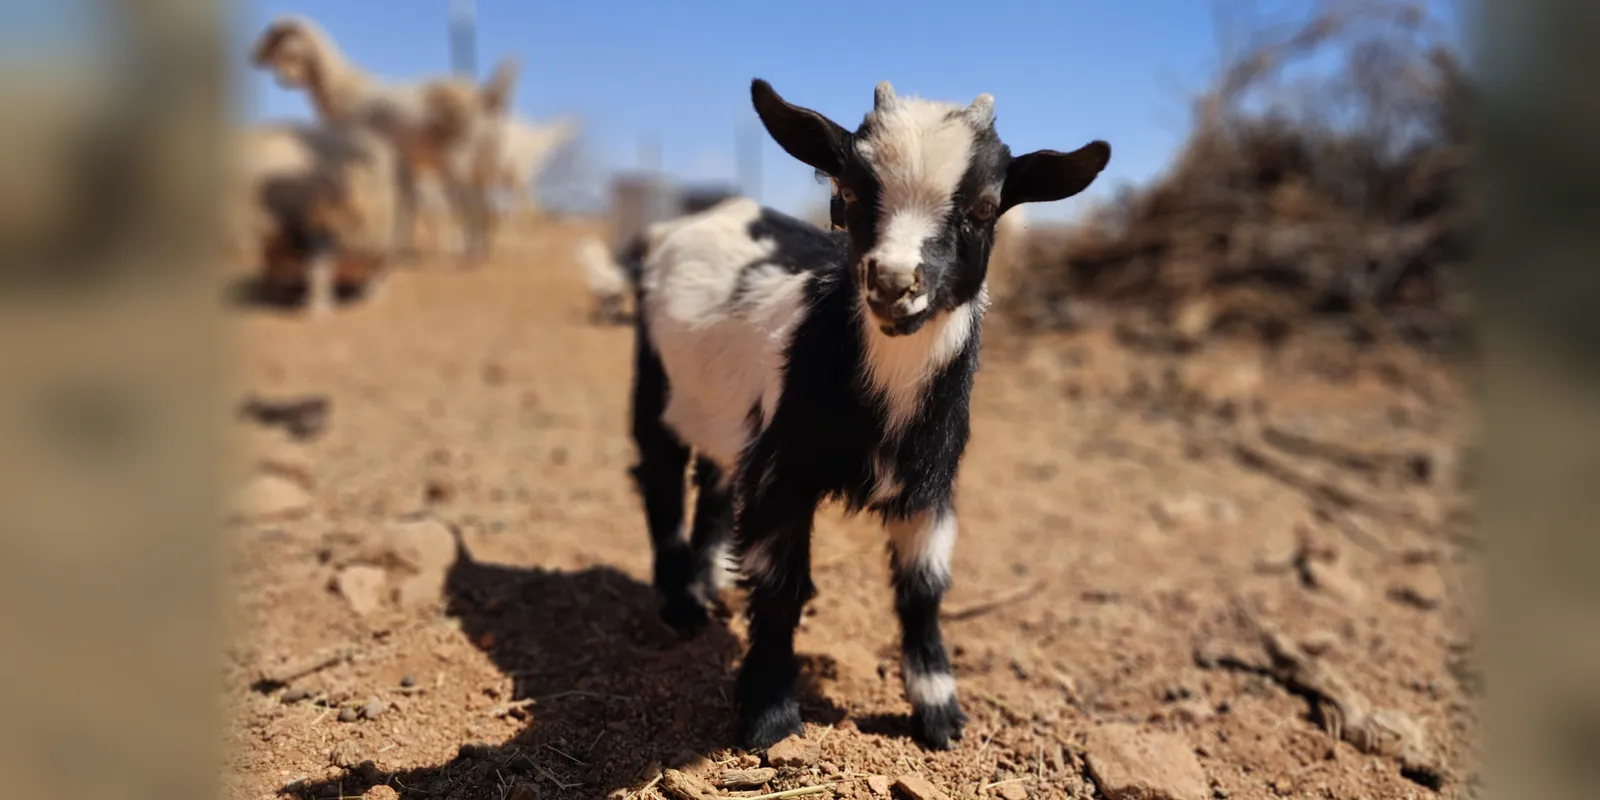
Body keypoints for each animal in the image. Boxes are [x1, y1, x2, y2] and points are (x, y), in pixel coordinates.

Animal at [249, 15, 518, 264]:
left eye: (284, 44)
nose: (254, 57)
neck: (346, 90)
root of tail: (484, 96)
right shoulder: (403, 162)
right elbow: (408, 202)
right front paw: (397, 249)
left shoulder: (364, 158)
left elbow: (375, 201)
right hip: (484, 164)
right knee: (486, 204)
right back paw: (482, 250)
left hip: (454, 160)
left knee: (471, 201)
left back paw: (471, 255)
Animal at [627, 78, 1110, 750]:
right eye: (849, 193)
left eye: (985, 208)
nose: (894, 283)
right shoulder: (782, 471)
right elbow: (781, 587)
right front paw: (771, 717)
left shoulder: (930, 483)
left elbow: (923, 589)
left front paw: (939, 713)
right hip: (655, 380)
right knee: (660, 477)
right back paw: (681, 605)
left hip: (725, 416)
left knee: (717, 483)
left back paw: (709, 582)